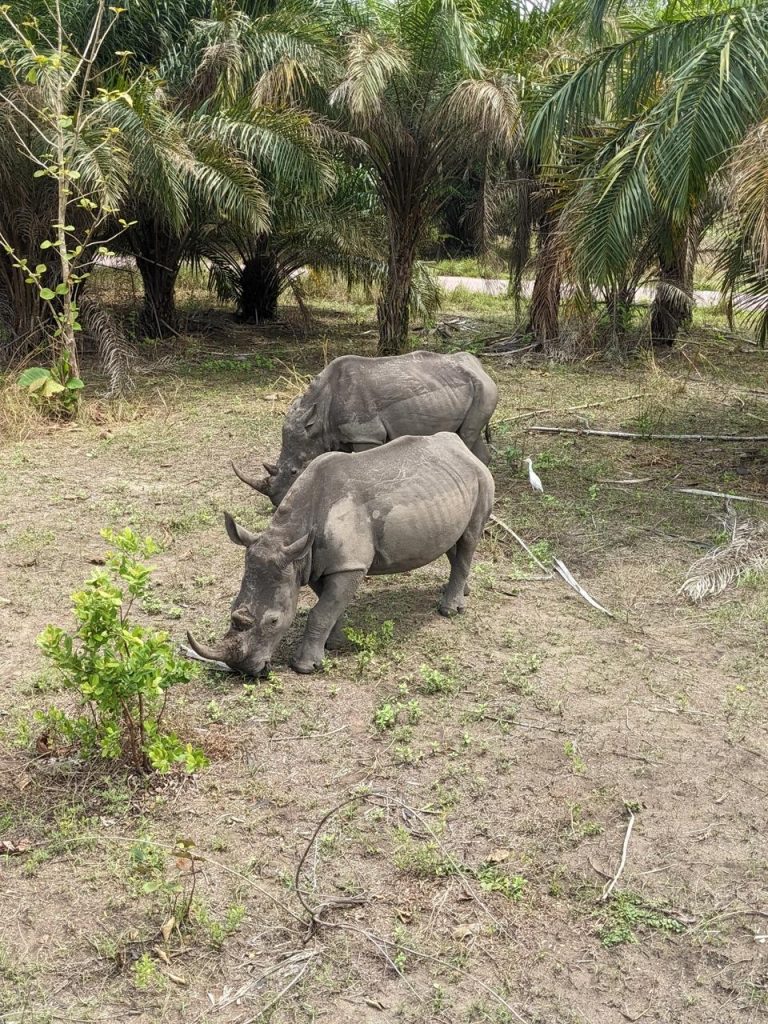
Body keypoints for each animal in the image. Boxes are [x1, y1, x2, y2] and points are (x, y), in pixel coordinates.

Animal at [188, 433, 494, 676]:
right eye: (232, 607)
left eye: (274, 621)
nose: (244, 670)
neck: (290, 536)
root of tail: (463, 449)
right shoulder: (311, 561)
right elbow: (327, 604)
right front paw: (336, 642)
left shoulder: (348, 564)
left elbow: (320, 611)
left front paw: (305, 666)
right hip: (450, 486)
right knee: (454, 541)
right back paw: (462, 592)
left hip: (480, 478)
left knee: (469, 537)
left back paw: (450, 610)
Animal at [234, 351, 497, 506]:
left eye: (294, 472)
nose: (278, 502)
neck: (320, 415)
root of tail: (481, 367)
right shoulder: (340, 435)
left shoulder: (366, 435)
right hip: (472, 388)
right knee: (470, 436)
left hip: (485, 389)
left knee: (467, 436)